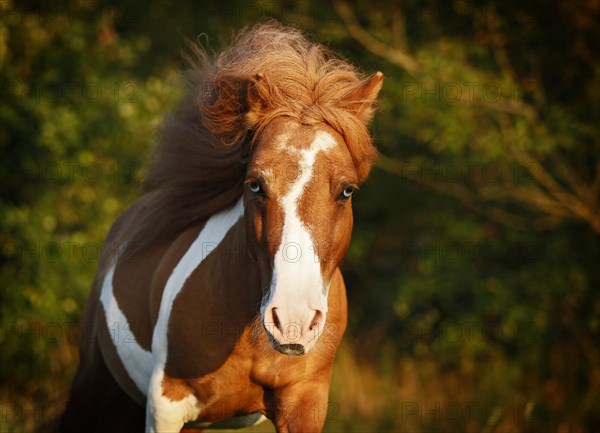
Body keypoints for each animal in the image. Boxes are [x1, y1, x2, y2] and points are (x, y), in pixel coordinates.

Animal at [62, 22, 384, 432]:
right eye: (255, 184)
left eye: (347, 190)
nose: (292, 321)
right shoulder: (167, 403)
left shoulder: (305, 403)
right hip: (93, 385)